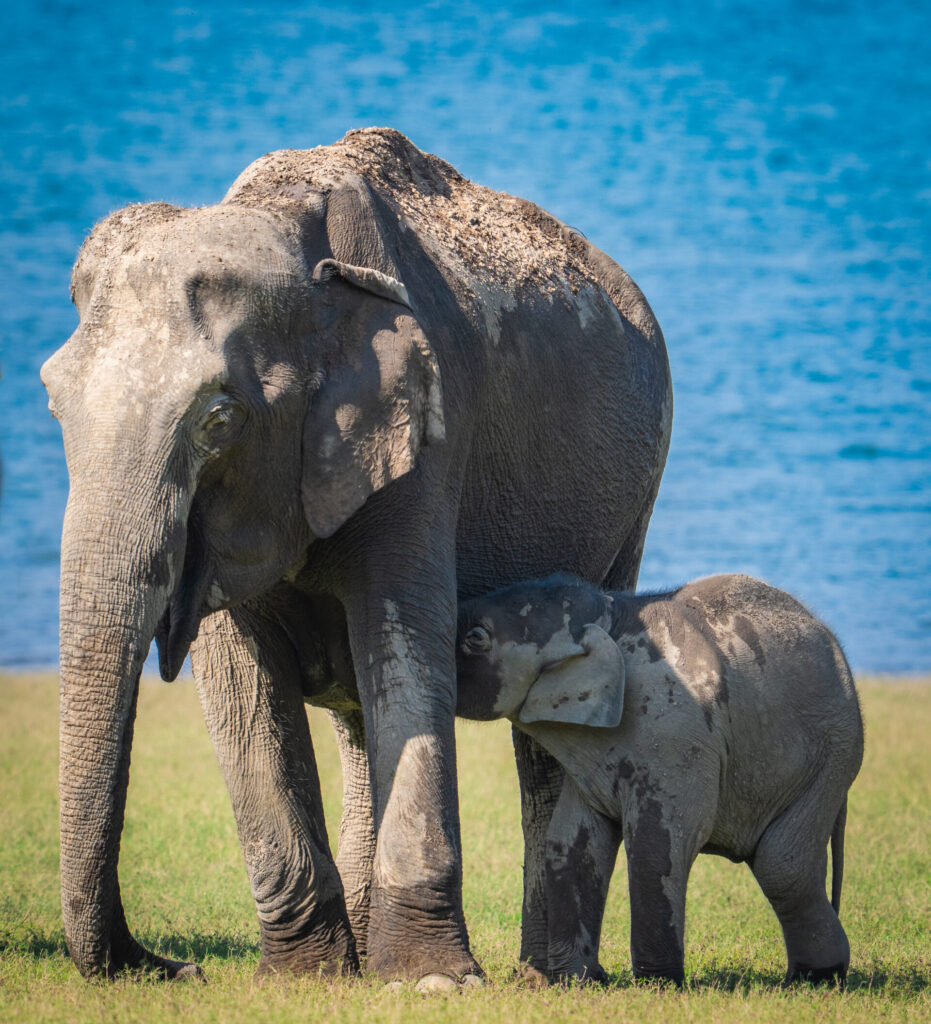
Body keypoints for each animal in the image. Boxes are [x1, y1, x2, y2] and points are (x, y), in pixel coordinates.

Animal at [40, 128, 672, 985]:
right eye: (52, 400)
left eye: (217, 419)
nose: (178, 966)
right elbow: (240, 686)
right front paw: (307, 976)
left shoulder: (429, 435)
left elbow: (405, 645)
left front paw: (433, 981)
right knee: (355, 719)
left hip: (627, 508)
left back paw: (550, 975)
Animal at [455, 572, 864, 986]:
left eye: (475, 637)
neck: (608, 616)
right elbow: (570, 841)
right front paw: (576, 983)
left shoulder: (673, 733)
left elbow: (659, 840)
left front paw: (658, 985)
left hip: (833, 753)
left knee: (781, 865)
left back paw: (816, 978)